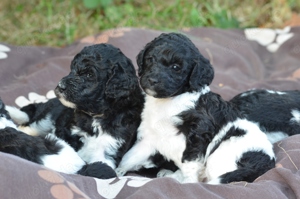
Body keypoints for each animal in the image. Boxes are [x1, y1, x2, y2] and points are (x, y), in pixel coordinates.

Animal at [5, 44, 144, 170]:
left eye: (89, 75)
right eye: (72, 69)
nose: (60, 86)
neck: (96, 115)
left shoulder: (111, 148)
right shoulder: (68, 132)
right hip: (46, 118)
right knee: (28, 127)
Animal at [116, 32, 276, 183]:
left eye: (176, 67)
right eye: (150, 59)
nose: (152, 80)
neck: (171, 101)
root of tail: (267, 161)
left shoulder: (198, 134)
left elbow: (190, 163)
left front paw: (188, 183)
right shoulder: (150, 136)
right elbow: (131, 156)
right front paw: (116, 171)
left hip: (221, 155)